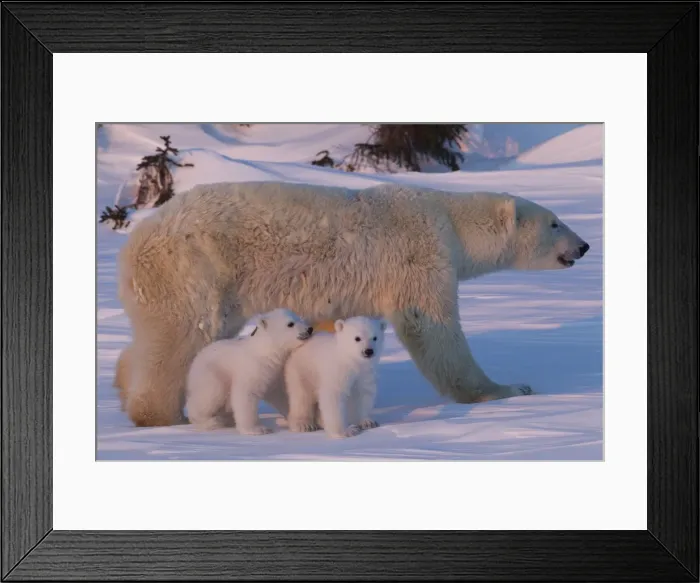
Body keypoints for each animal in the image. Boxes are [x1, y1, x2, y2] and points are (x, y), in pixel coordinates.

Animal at [185, 308, 314, 435]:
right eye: (290, 324)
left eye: (300, 318)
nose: (310, 329)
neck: (266, 352)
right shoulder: (253, 368)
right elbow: (246, 394)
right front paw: (257, 429)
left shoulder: (275, 373)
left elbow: (281, 394)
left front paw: (300, 422)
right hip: (210, 373)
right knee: (210, 394)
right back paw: (210, 421)